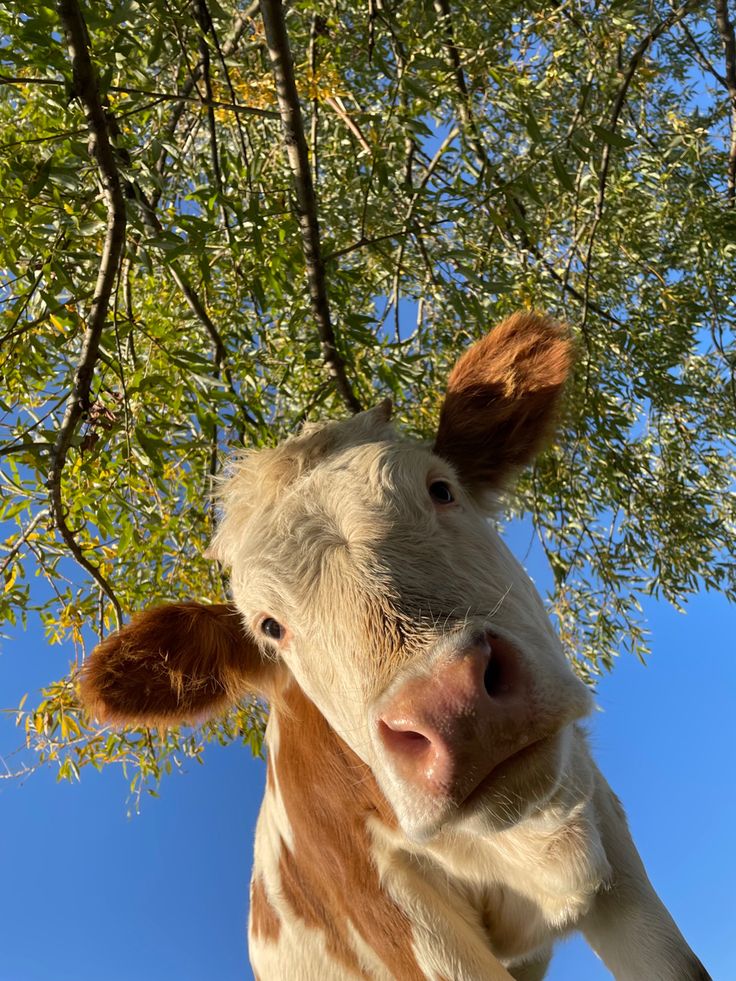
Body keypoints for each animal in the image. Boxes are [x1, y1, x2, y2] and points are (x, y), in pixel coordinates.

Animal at [77, 314, 712, 980]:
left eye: (441, 489)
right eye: (270, 627)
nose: (454, 706)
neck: (532, 848)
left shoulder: (608, 835)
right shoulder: (390, 909)